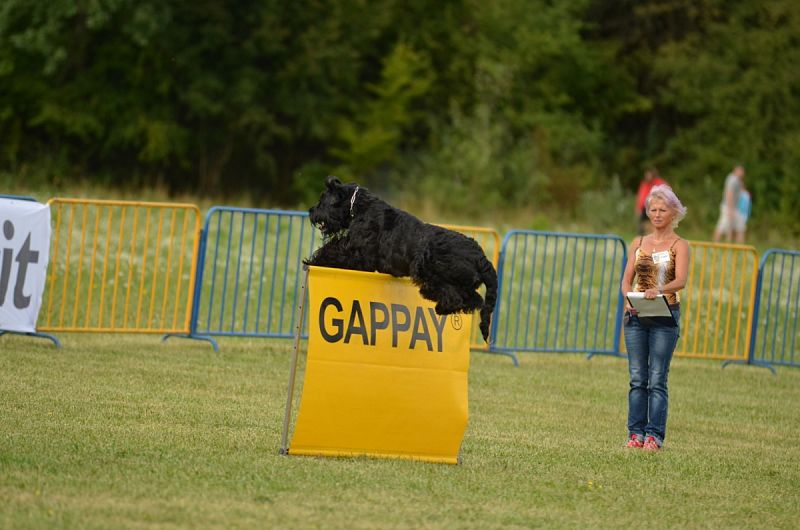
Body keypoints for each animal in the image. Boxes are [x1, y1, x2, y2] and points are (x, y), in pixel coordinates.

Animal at [304, 175, 496, 340]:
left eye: (322, 200)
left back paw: (437, 303)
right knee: (475, 300)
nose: (311, 211)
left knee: (456, 298)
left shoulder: (358, 255)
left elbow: (334, 251)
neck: (359, 207)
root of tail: (481, 258)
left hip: (432, 271)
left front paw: (313, 261)